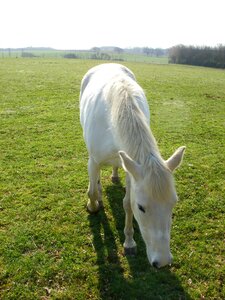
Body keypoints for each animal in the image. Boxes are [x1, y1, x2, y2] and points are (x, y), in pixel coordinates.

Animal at [79, 63, 185, 268]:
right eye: (142, 207)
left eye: (173, 203)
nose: (162, 261)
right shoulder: (94, 160)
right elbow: (92, 191)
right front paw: (93, 206)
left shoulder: (132, 170)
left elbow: (127, 203)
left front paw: (129, 243)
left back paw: (114, 175)